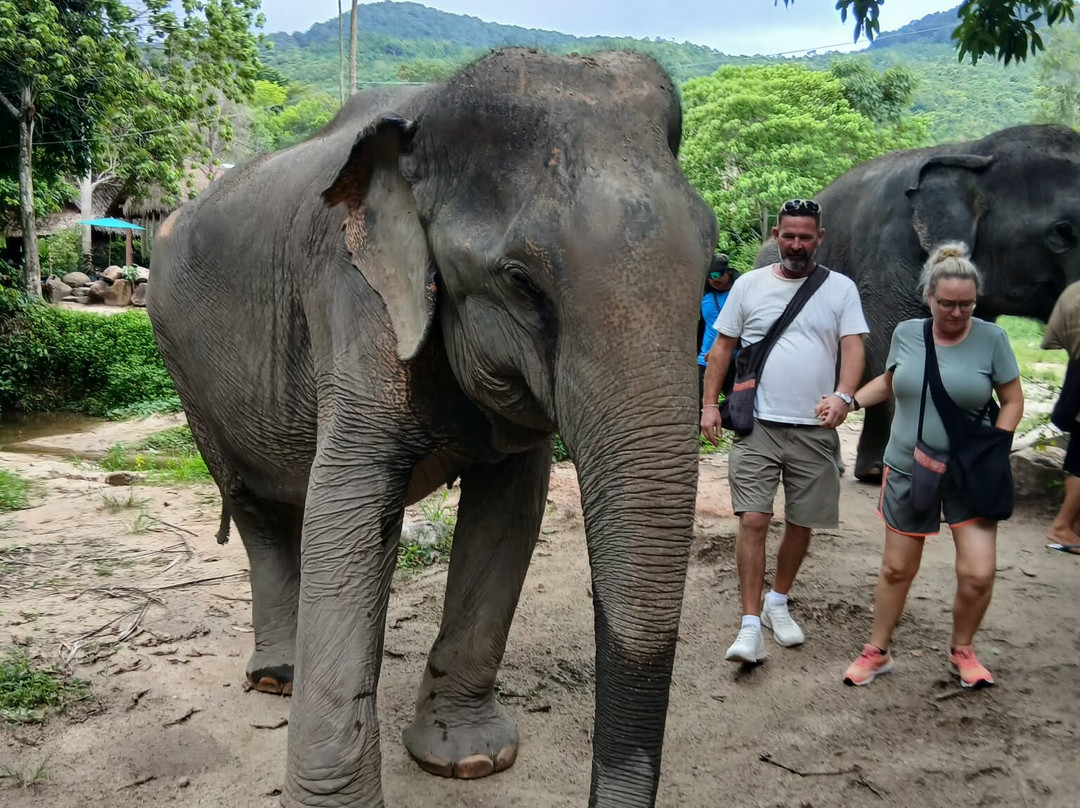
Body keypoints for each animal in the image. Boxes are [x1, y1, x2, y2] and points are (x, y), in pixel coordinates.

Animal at [147, 48, 717, 808]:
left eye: (713, 269)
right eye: (522, 282)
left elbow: (509, 507)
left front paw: (467, 761)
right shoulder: (351, 291)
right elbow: (348, 506)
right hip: (181, 363)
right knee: (253, 505)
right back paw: (277, 678)